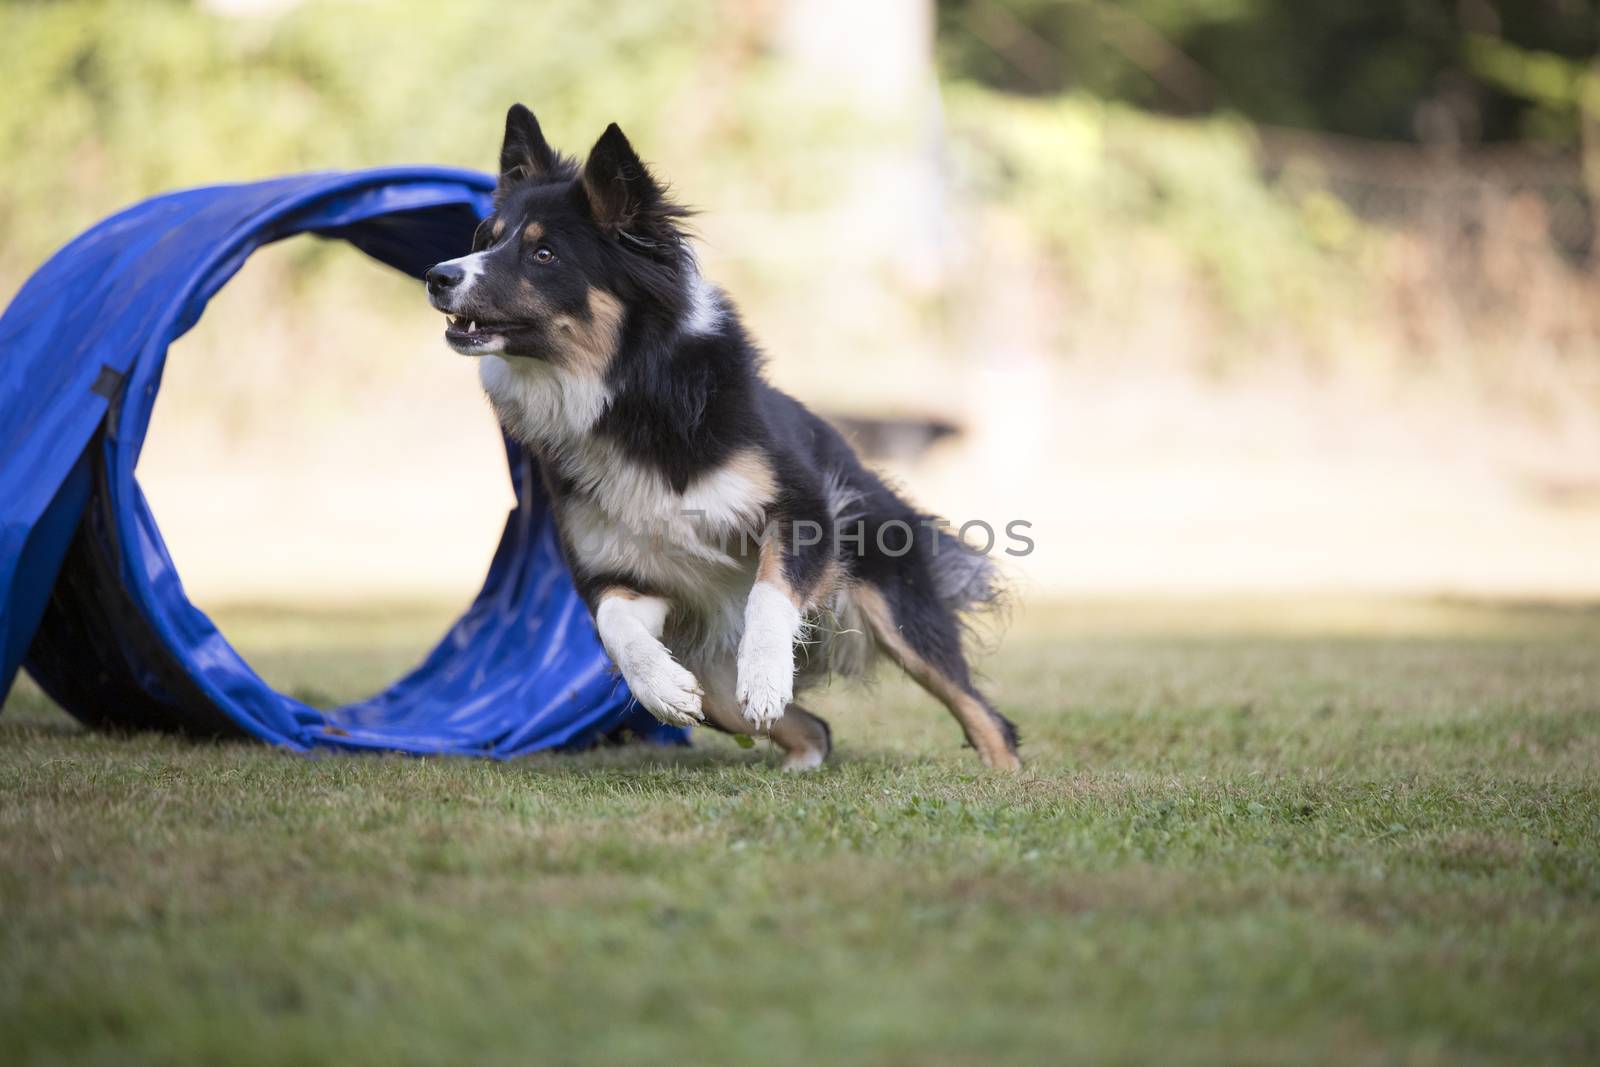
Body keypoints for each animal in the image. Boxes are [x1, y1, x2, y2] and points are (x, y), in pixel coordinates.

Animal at [425, 103, 1017, 771]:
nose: (436, 276)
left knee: (982, 712)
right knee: (801, 723)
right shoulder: (620, 571)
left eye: (543, 254)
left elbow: (768, 593)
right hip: (715, 670)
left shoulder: (803, 509)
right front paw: (660, 687)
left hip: (891, 598)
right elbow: (615, 624)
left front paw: (764, 675)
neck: (626, 397)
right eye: (486, 239)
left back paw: (1006, 774)